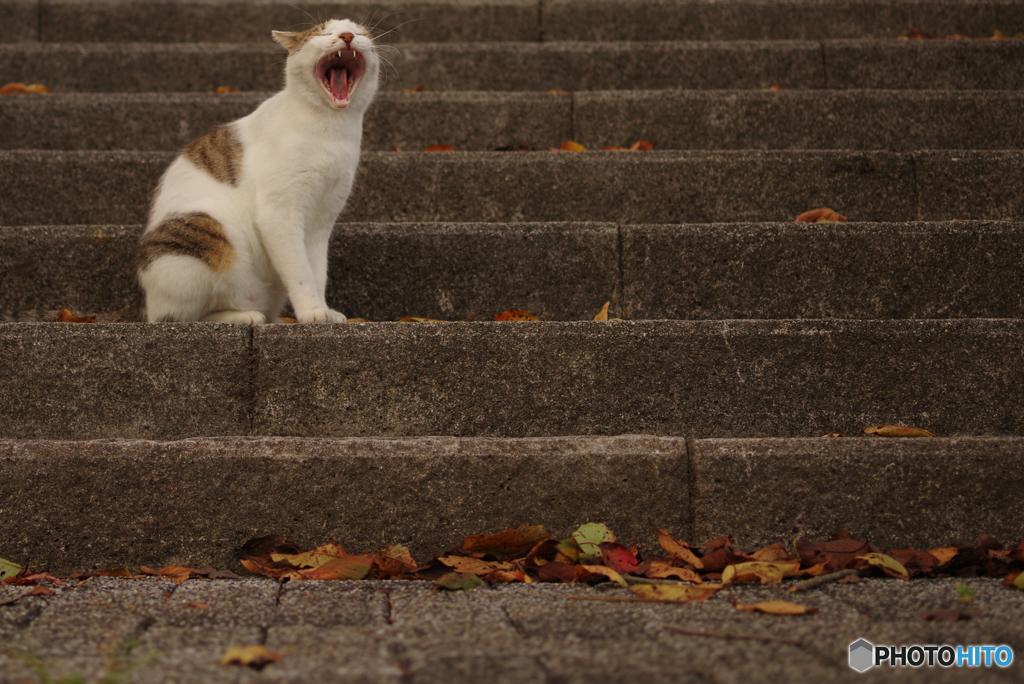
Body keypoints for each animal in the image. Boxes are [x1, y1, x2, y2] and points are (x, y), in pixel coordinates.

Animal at [134, 18, 378, 323]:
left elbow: (316, 271)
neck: (331, 129)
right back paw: (243, 316)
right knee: (181, 316)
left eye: (360, 33)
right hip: (207, 238)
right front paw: (311, 312)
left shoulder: (322, 220)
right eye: (323, 33)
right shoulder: (279, 215)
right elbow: (299, 271)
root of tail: (145, 306)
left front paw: (322, 309)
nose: (346, 36)